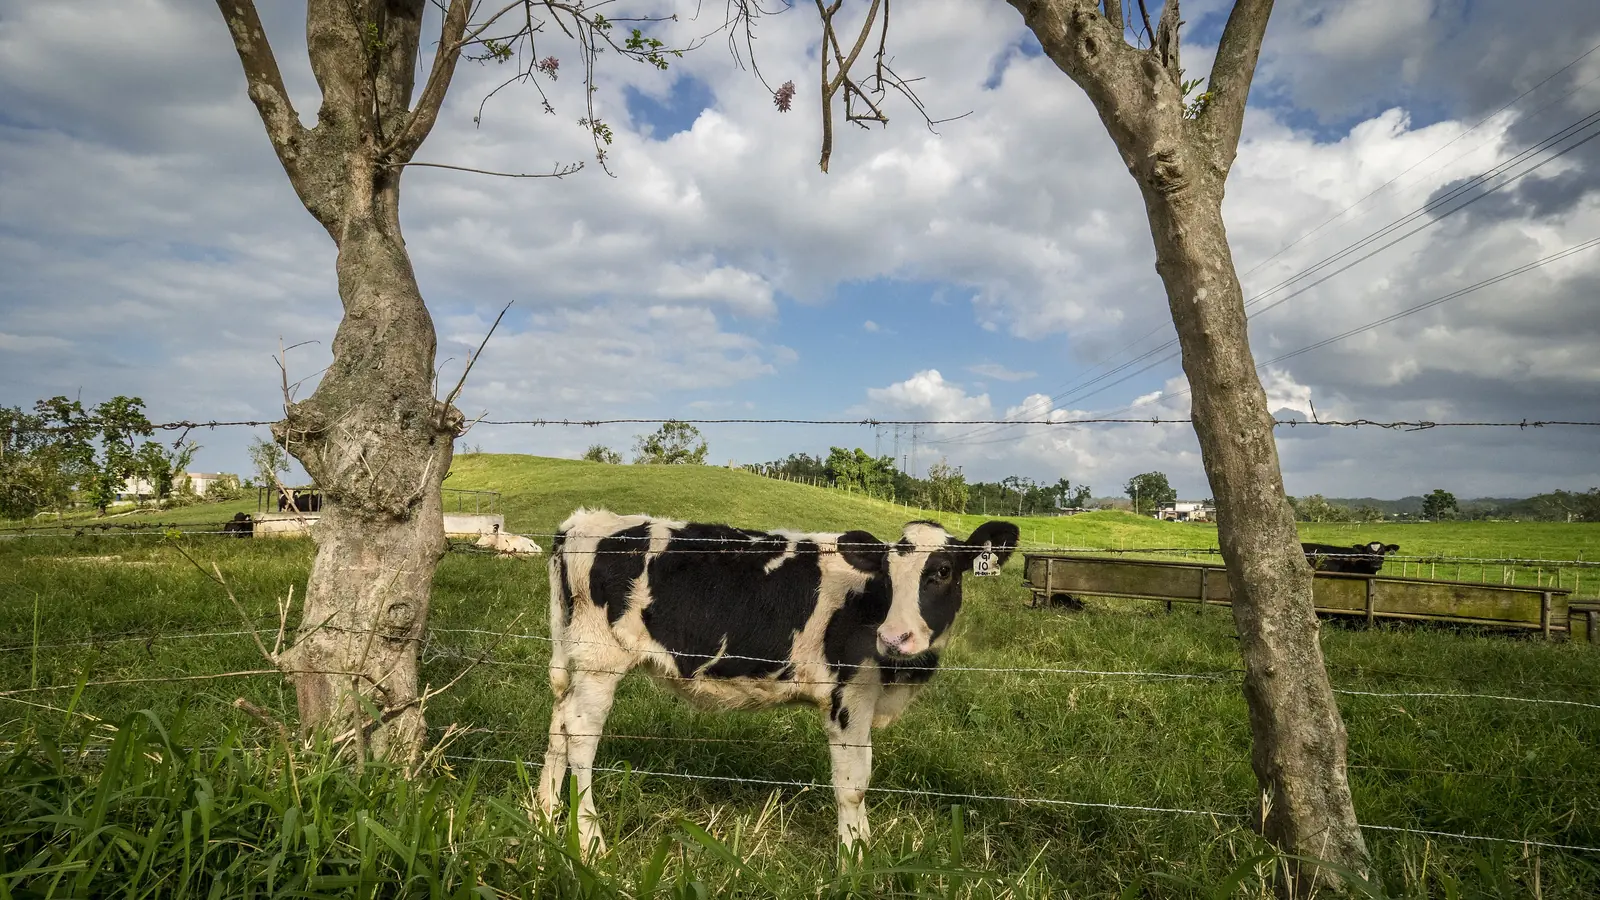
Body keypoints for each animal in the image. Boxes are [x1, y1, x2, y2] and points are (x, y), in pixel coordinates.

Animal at [536, 508, 1020, 855]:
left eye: (943, 571)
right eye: (886, 574)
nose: (895, 637)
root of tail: (581, 521)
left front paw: (863, 848)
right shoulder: (849, 696)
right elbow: (854, 785)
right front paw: (855, 860)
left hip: (576, 658)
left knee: (559, 724)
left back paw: (546, 812)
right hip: (600, 659)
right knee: (580, 736)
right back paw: (589, 841)